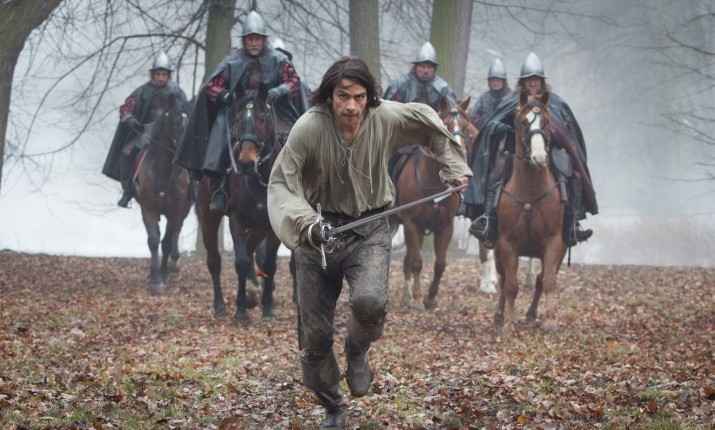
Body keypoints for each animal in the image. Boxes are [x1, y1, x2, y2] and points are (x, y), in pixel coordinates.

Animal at [133, 94, 193, 294]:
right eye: (174, 123)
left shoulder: (175, 211)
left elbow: (166, 241)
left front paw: (164, 274)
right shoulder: (148, 208)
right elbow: (153, 240)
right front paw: (155, 279)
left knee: (176, 231)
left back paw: (174, 266)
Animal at [196, 85, 284, 323]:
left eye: (263, 118)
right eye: (236, 118)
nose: (245, 163)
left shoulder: (271, 228)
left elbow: (269, 264)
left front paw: (267, 309)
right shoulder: (236, 220)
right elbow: (242, 262)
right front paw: (241, 311)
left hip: (259, 227)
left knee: (252, 248)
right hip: (208, 218)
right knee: (214, 261)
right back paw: (220, 306)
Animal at [390, 97, 476, 310]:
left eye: (465, 127)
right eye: (446, 126)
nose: (459, 152)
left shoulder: (445, 226)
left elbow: (440, 264)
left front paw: (430, 297)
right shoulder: (411, 224)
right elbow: (416, 262)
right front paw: (418, 296)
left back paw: (406, 296)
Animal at [493, 90, 567, 332]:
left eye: (546, 122)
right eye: (523, 122)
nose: (539, 158)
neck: (529, 192)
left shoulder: (554, 243)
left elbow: (548, 281)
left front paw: (550, 320)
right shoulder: (507, 244)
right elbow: (511, 285)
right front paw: (508, 321)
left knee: (540, 279)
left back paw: (533, 313)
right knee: (503, 279)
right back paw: (499, 314)